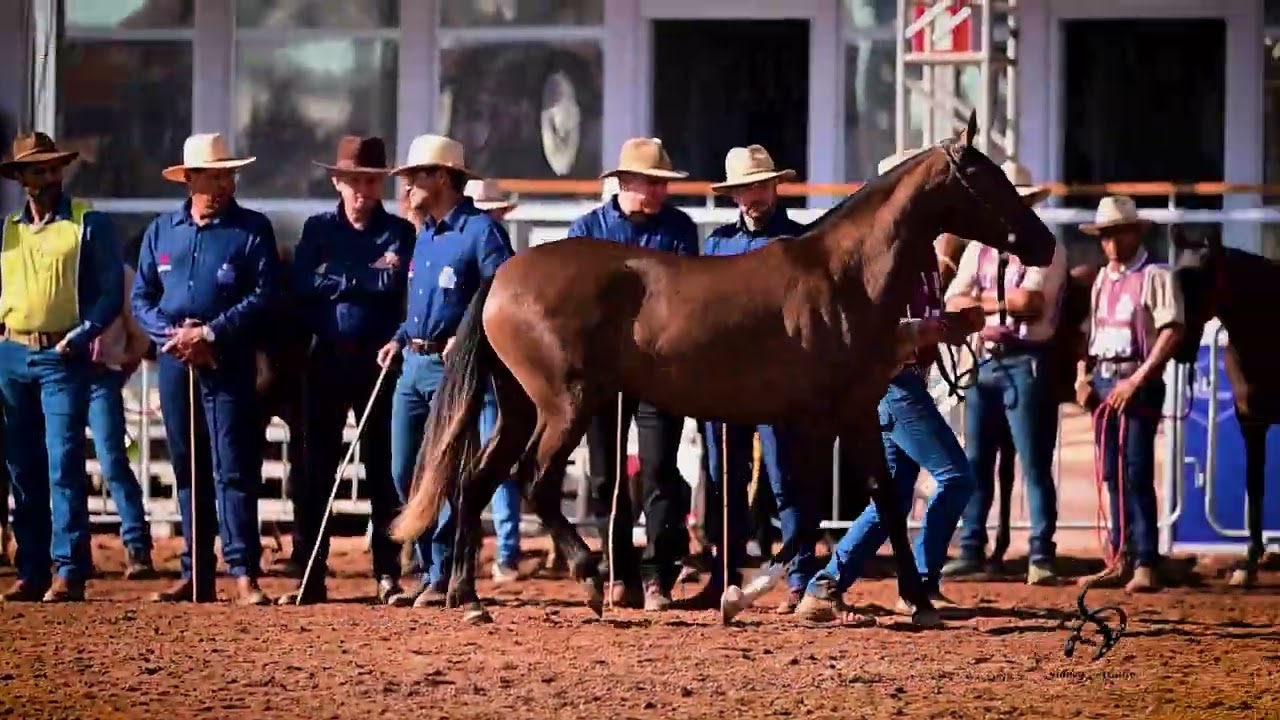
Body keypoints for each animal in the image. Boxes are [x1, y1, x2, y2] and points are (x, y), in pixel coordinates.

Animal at [389, 114, 1059, 626]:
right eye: (985, 177)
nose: (1046, 244)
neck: (843, 277)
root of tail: (503, 273)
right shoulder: (819, 420)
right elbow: (805, 515)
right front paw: (749, 595)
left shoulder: (856, 413)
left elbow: (874, 502)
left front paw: (912, 601)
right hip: (566, 404)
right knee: (535, 481)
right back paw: (587, 579)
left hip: (519, 406)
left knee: (476, 481)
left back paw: (466, 599)